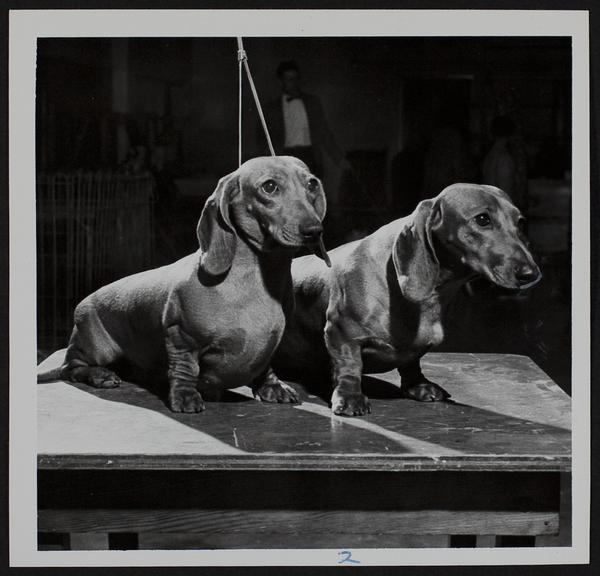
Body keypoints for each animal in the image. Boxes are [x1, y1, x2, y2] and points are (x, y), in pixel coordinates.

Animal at [38, 156, 329, 413]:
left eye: (312, 184)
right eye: (269, 186)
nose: (314, 231)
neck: (257, 279)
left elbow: (266, 366)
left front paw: (273, 386)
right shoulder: (180, 336)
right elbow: (185, 369)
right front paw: (185, 396)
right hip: (95, 346)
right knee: (70, 367)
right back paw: (99, 375)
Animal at [273, 183, 542, 416]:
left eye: (520, 222)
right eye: (483, 219)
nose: (532, 274)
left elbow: (413, 363)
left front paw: (419, 386)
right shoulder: (341, 331)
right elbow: (349, 365)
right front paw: (350, 397)